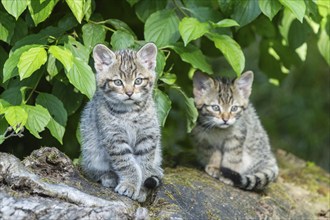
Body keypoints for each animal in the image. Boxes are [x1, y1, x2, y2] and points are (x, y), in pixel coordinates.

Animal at [80, 42, 162, 202]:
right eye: (118, 82)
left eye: (138, 81)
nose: (129, 93)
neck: (129, 112)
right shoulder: (113, 138)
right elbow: (126, 163)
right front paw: (130, 184)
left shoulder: (148, 135)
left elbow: (144, 162)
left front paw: (141, 188)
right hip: (91, 149)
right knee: (92, 169)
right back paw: (108, 176)